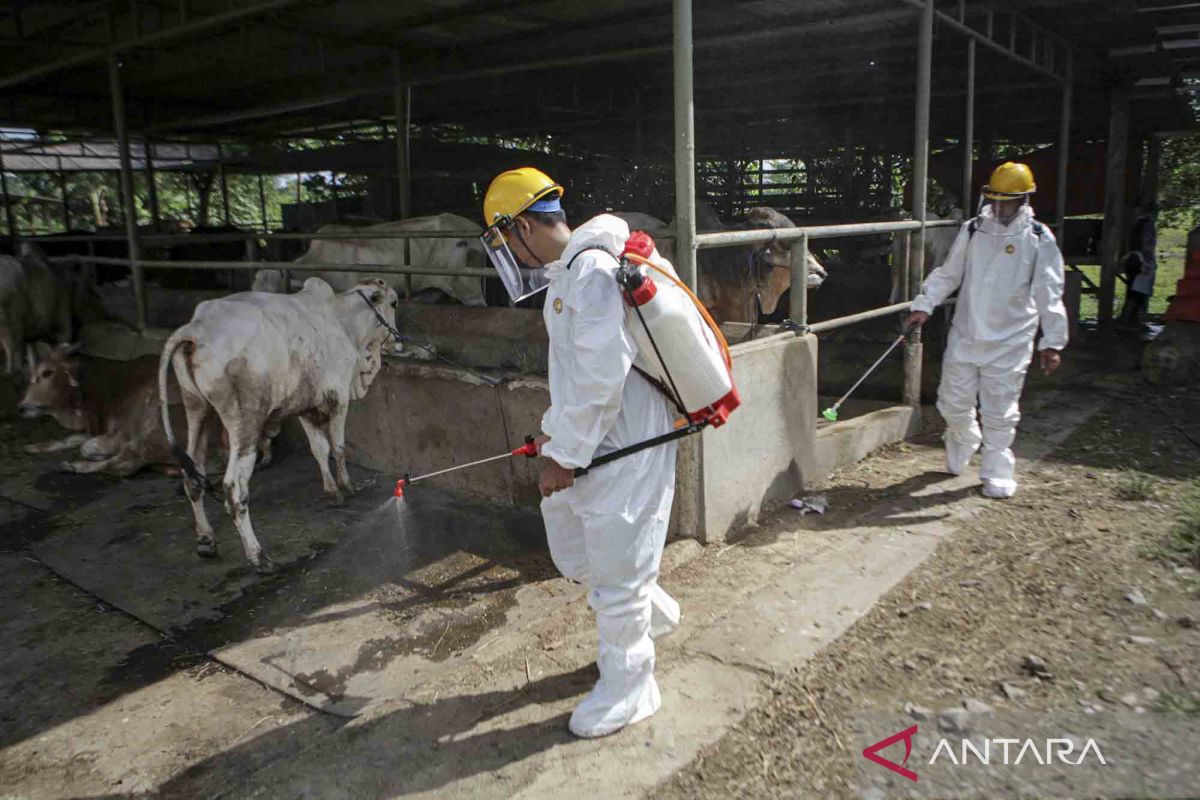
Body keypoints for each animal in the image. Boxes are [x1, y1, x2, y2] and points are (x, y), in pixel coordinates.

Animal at [18, 343, 180, 474]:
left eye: (47, 372)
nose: (22, 407)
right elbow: (69, 439)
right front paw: (33, 447)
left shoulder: (121, 433)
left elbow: (87, 446)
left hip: (152, 435)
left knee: (123, 466)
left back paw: (74, 466)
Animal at [159, 278, 398, 573]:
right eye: (394, 303)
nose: (398, 341)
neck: (341, 320)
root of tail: (196, 328)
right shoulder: (338, 397)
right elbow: (339, 447)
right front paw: (348, 486)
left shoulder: (306, 405)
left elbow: (319, 449)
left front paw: (332, 490)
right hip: (245, 423)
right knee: (234, 488)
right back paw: (258, 556)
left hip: (197, 409)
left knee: (192, 475)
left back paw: (206, 541)